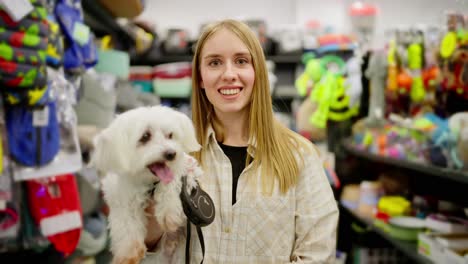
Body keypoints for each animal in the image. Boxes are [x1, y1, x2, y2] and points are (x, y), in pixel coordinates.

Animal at [91, 105, 201, 264]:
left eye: (170, 135)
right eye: (145, 137)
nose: (171, 153)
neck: (148, 182)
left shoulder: (189, 169)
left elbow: (173, 181)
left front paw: (169, 211)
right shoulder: (118, 196)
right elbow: (125, 220)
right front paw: (128, 251)